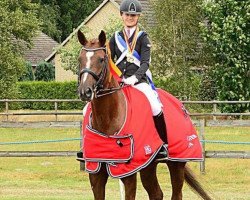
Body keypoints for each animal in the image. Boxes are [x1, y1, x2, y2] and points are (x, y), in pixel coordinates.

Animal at [77, 30, 211, 200]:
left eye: (101, 59)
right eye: (80, 59)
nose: (85, 91)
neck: (107, 118)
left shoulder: (128, 174)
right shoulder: (96, 172)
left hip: (176, 164)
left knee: (176, 193)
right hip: (149, 165)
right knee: (156, 193)